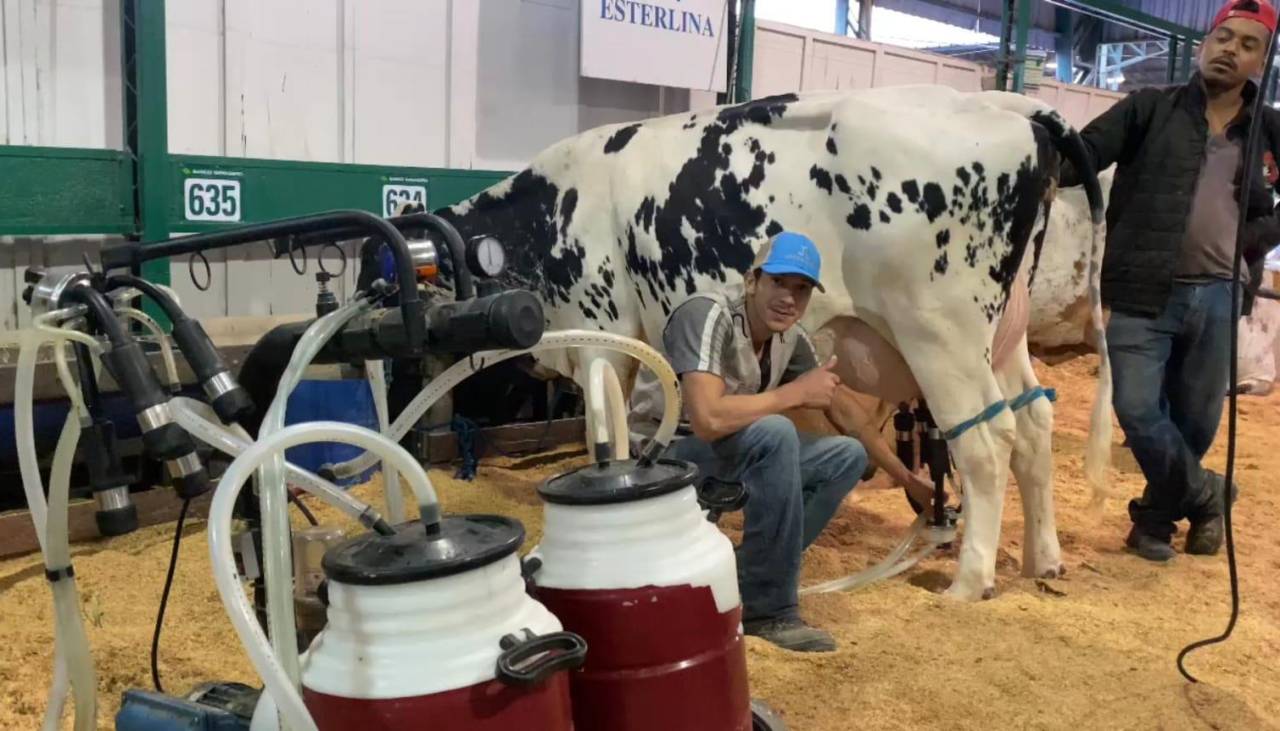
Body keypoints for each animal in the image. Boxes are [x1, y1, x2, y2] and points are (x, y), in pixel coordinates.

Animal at [435, 85, 1105, 601]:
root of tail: (1007, 105)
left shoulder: (602, 332)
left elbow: (608, 431)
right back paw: (1043, 560)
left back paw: (971, 581)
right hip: (1005, 334)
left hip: (942, 334)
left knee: (989, 442)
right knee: (1036, 425)